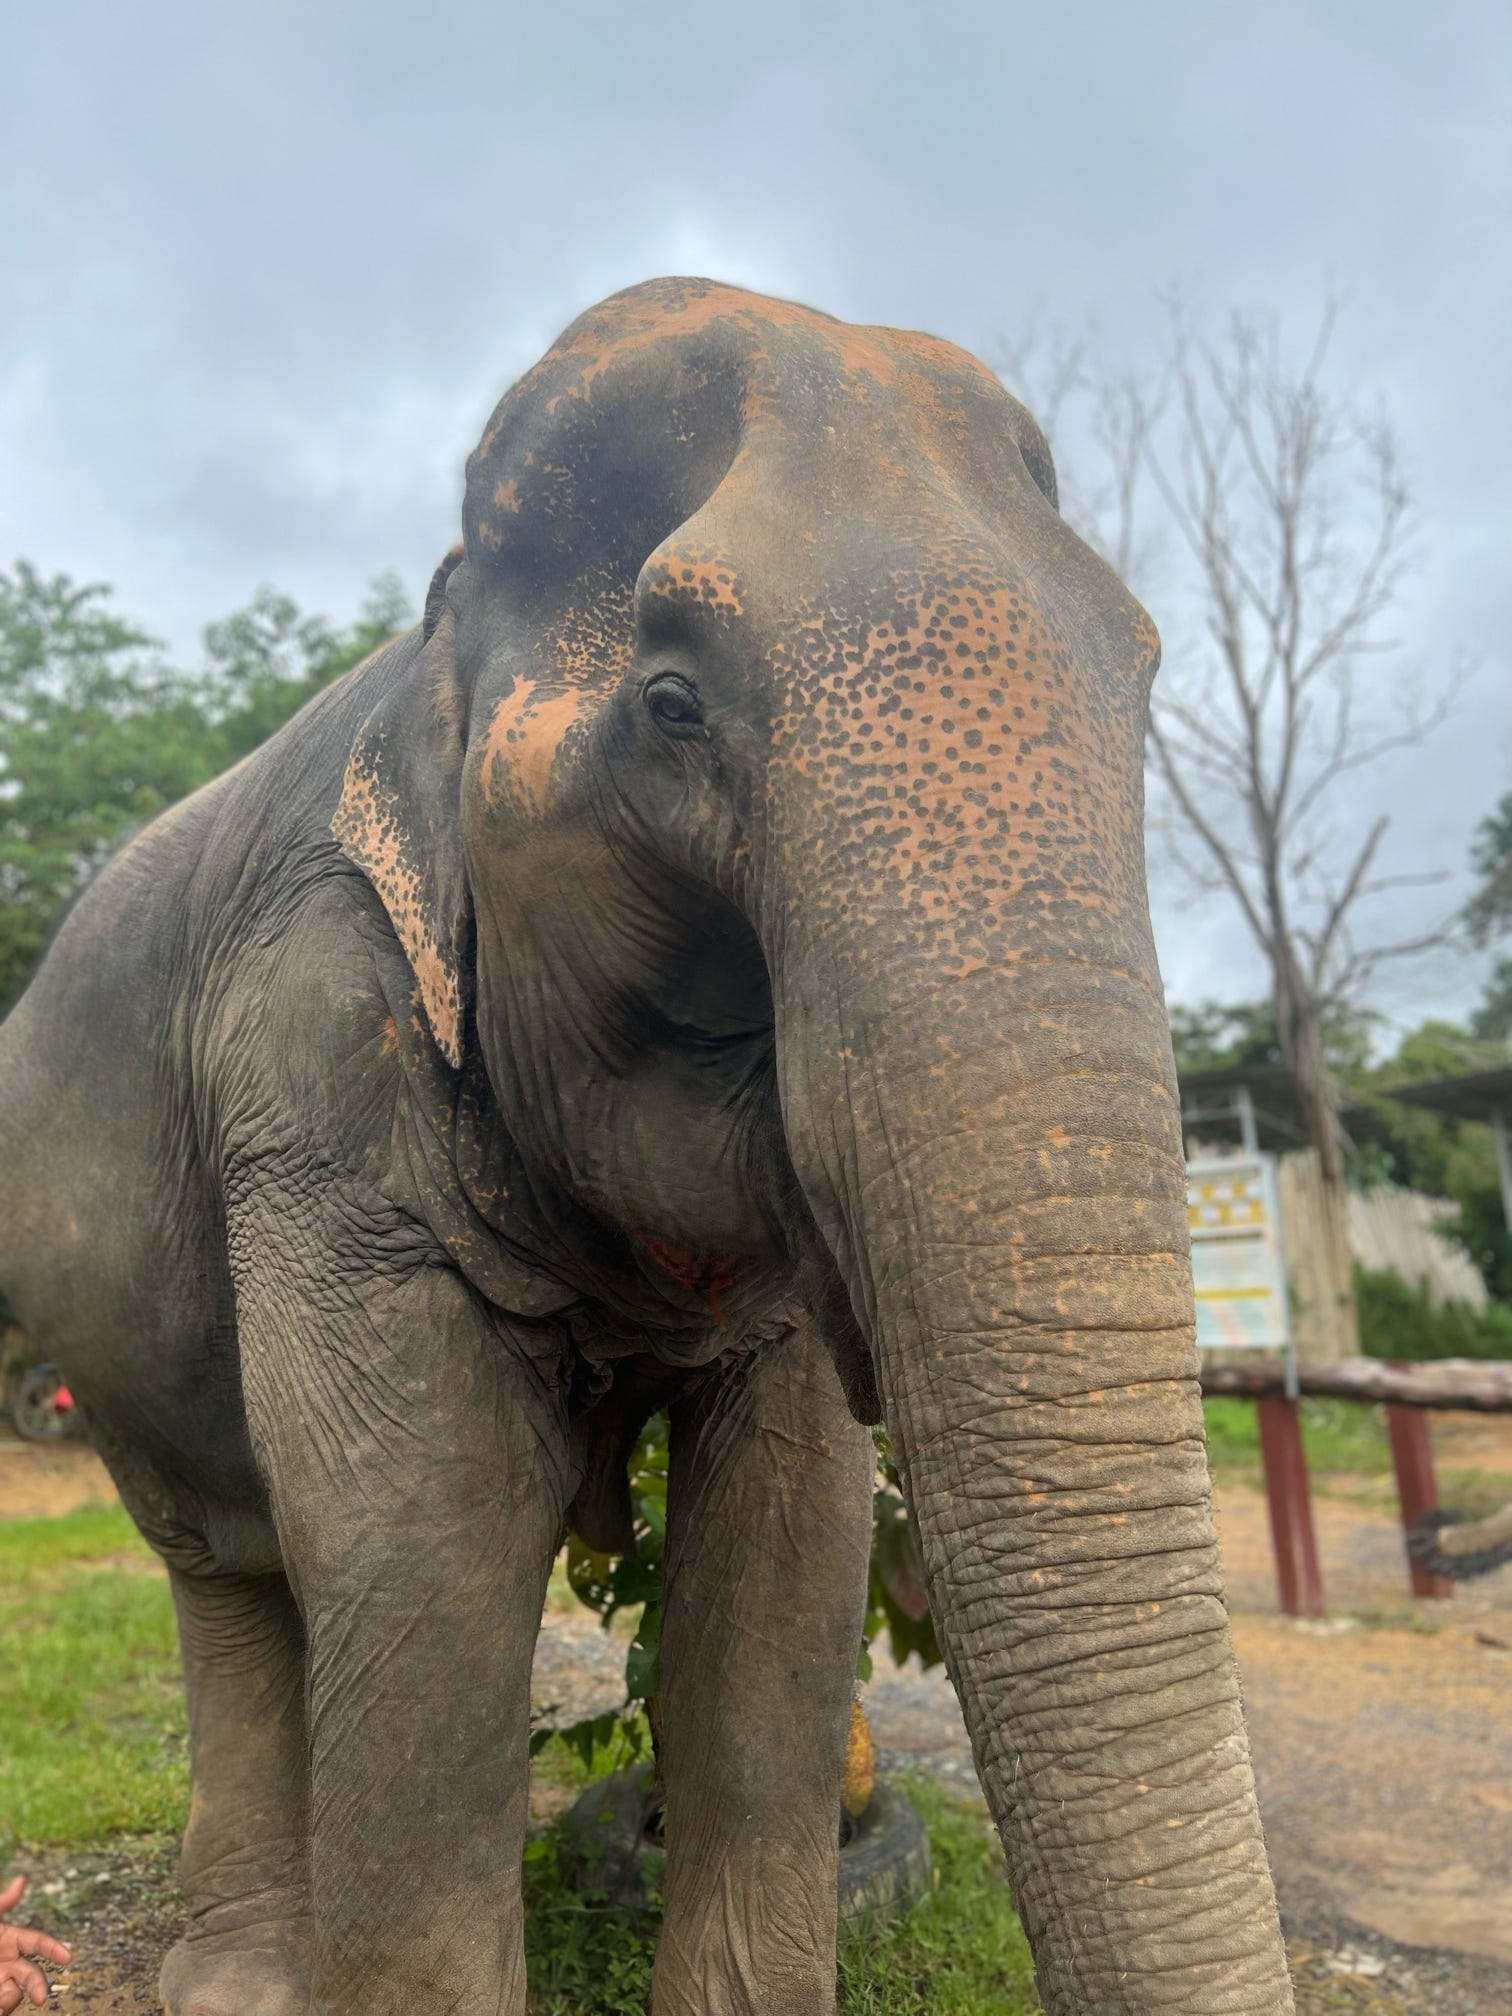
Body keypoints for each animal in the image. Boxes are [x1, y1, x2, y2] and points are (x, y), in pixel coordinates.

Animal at [0, 278, 1294, 2015]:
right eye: (673, 709)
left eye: (1145, 676)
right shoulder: (314, 1065)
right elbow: (427, 1558)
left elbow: (783, 1575)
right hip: (96, 1333)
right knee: (233, 1569)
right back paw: (243, 1984)